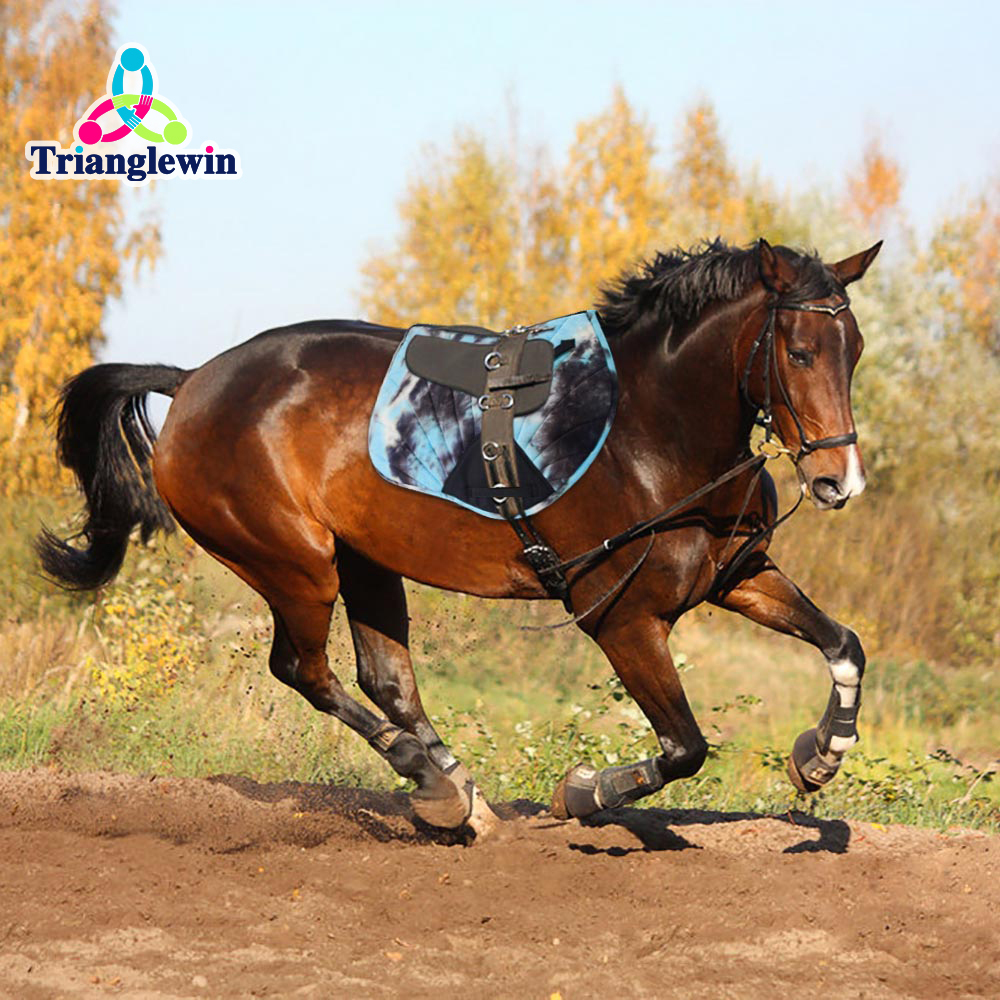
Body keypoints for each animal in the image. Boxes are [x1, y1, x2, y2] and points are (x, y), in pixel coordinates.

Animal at [38, 237, 881, 837]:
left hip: (365, 563)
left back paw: (457, 791)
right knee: (304, 669)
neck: (652, 431)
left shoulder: (739, 572)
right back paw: (430, 779)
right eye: (799, 352)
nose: (839, 482)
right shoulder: (622, 618)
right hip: (294, 563)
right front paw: (582, 792)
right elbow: (685, 748)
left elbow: (844, 644)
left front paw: (822, 754)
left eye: (856, 350)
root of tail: (192, 382)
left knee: (386, 679)